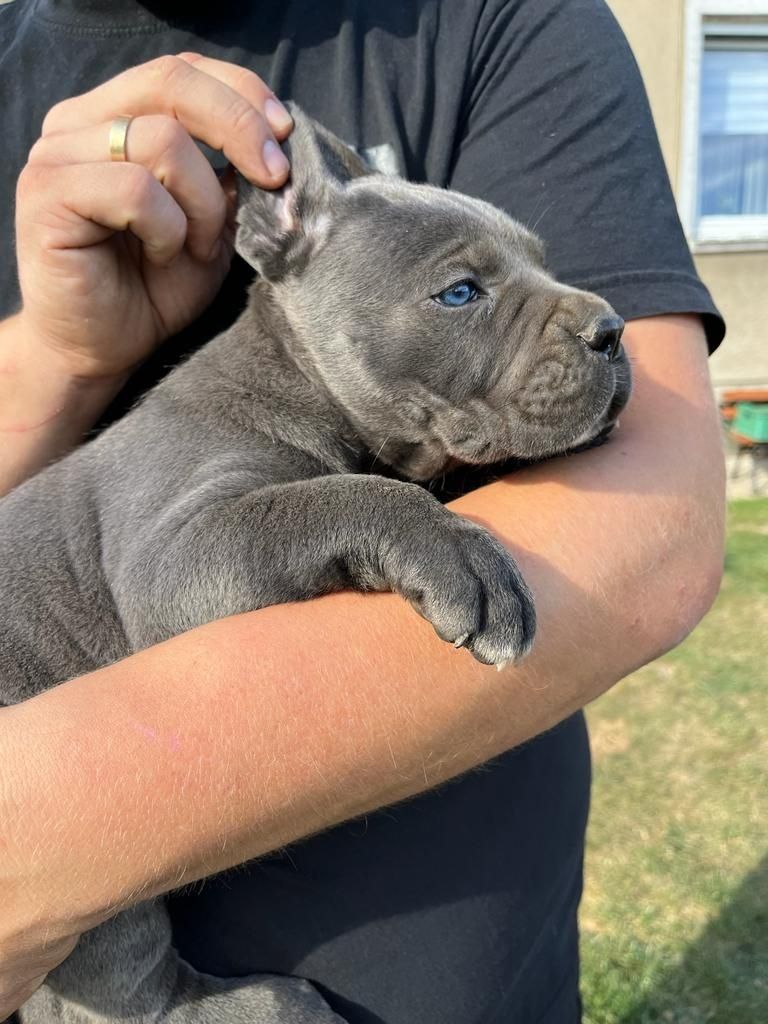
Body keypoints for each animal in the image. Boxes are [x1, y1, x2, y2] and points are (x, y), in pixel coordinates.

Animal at [4, 105, 630, 1024]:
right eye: (460, 293)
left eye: (545, 263)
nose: (612, 330)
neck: (293, 380)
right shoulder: (176, 553)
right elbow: (337, 496)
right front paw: (459, 552)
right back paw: (267, 1004)